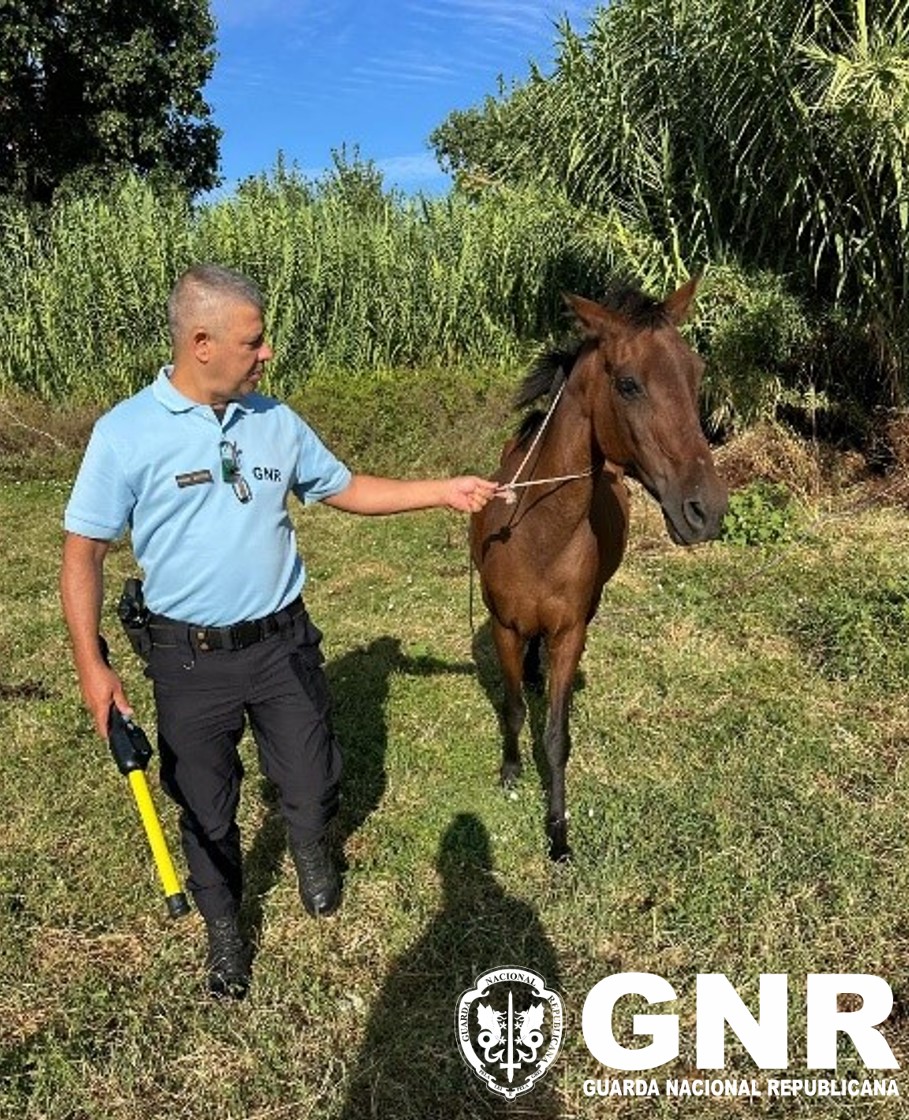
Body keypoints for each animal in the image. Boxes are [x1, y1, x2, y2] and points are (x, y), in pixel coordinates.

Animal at [470, 276, 727, 861]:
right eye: (628, 384)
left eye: (696, 372)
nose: (706, 511)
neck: (536, 534)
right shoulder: (503, 627)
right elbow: (514, 708)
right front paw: (511, 772)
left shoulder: (570, 632)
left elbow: (556, 736)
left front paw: (558, 835)